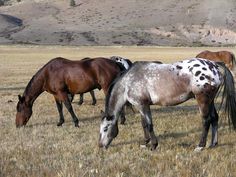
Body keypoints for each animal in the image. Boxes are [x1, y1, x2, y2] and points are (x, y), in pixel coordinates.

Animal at [98, 57, 236, 151]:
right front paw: (145, 143)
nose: (100, 145)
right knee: (214, 118)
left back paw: (200, 146)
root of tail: (214, 65)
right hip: (210, 101)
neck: (128, 82)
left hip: (202, 100)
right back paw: (213, 143)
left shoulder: (142, 105)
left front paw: (153, 145)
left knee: (206, 121)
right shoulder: (142, 105)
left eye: (105, 128)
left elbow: (149, 125)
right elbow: (144, 124)